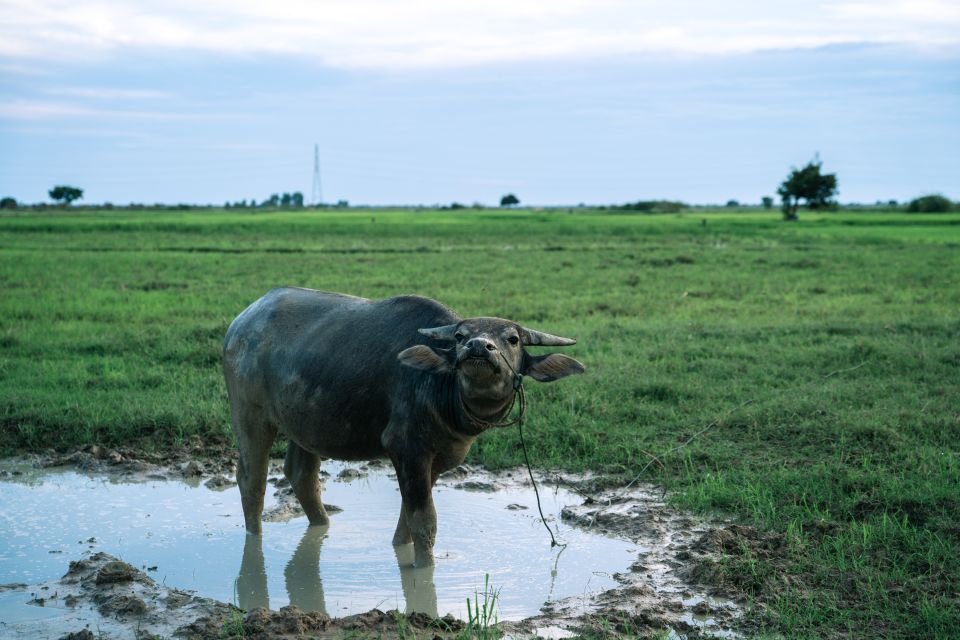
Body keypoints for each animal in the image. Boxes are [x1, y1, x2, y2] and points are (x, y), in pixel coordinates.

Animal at [225, 288, 584, 568]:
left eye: (512, 339)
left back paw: (322, 524)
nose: (479, 347)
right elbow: (424, 520)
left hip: (305, 424)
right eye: (460, 337)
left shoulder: (439, 458)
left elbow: (407, 518)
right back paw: (254, 537)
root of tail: (241, 322)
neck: (444, 393)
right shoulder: (407, 448)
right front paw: (425, 567)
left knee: (302, 475)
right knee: (252, 479)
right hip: (250, 415)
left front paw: (401, 548)